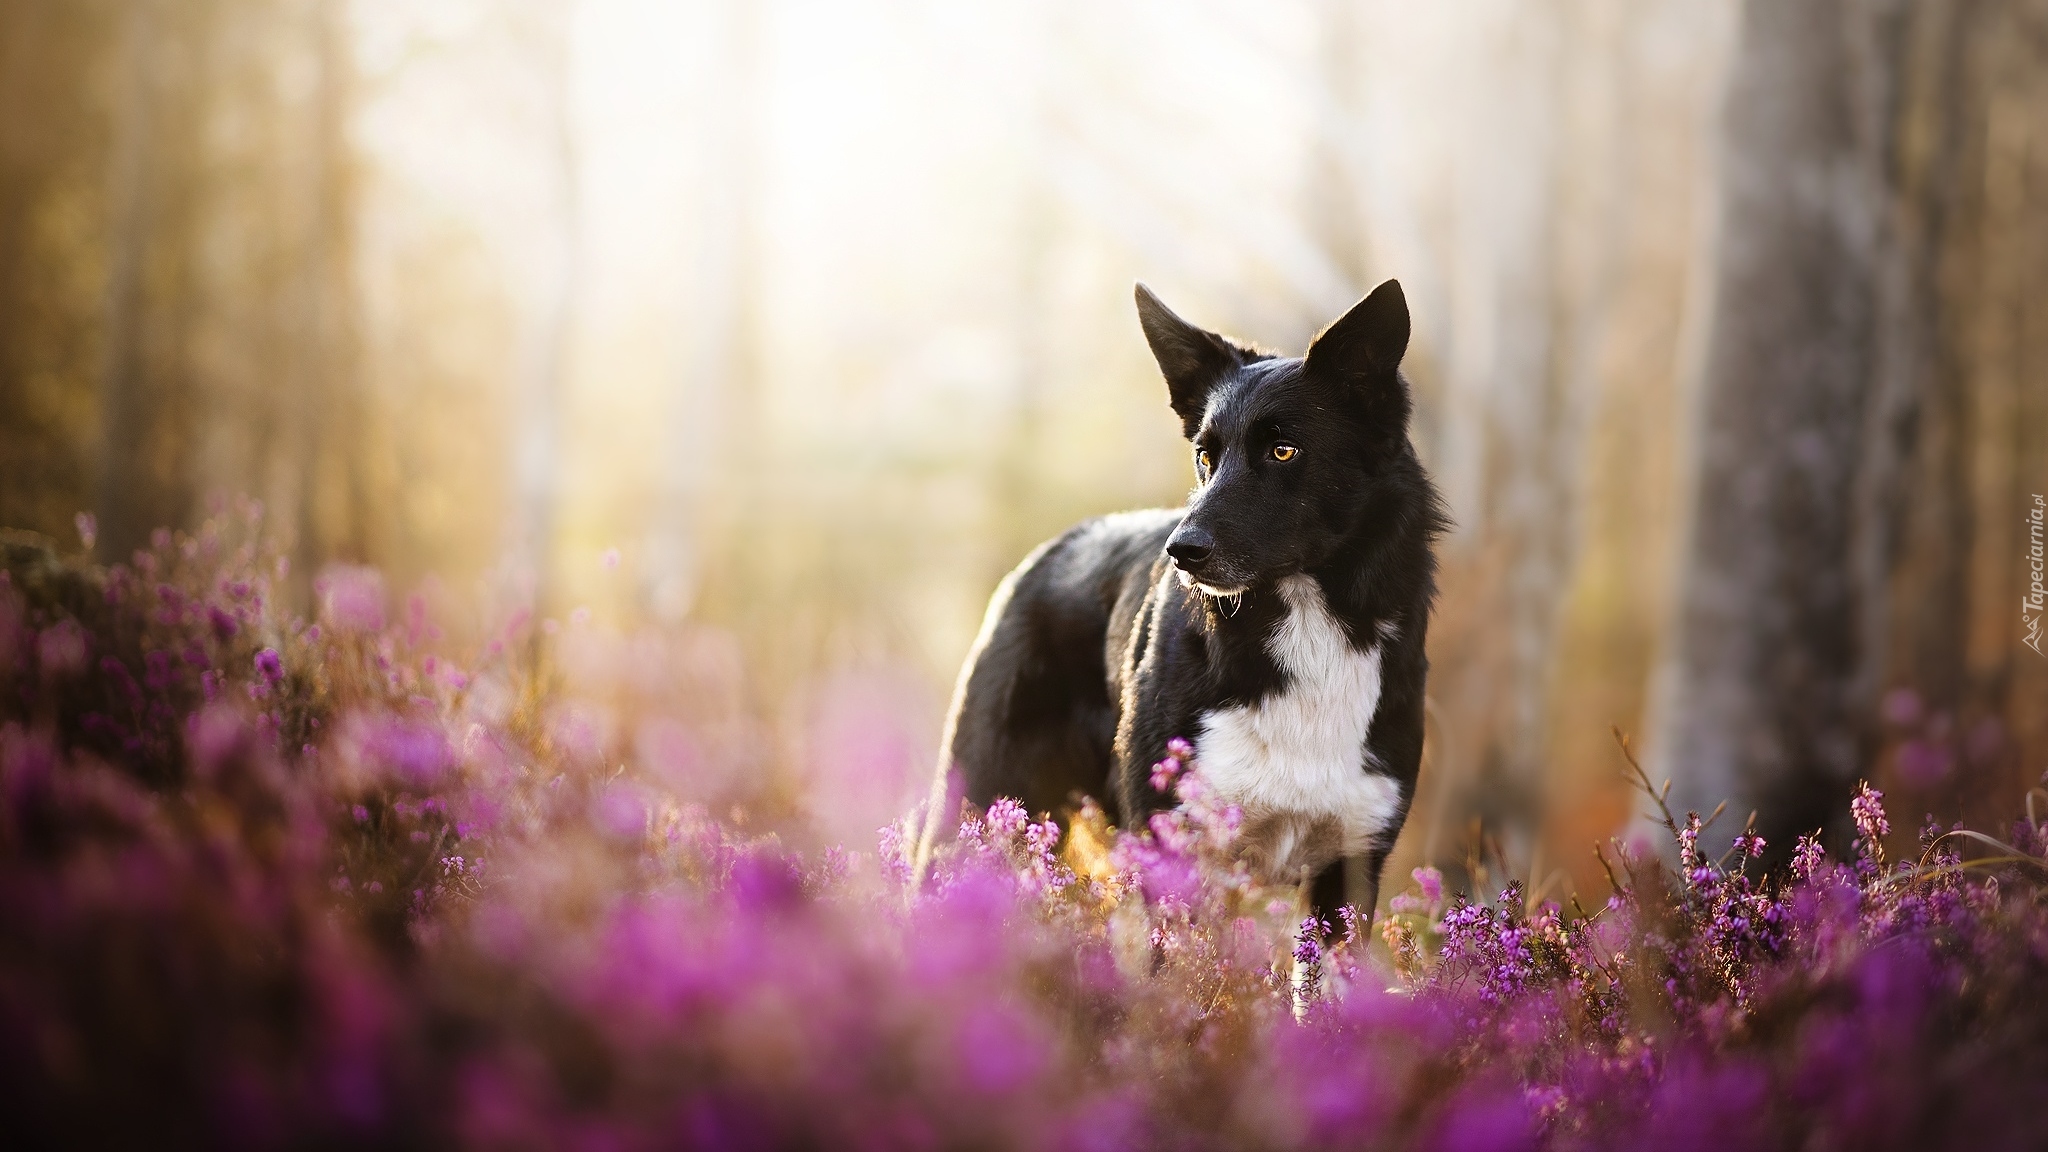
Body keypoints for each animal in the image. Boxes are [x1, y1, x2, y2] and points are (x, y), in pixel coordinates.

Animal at [937, 280, 1449, 922]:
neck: (1308, 620)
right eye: (1206, 457)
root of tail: (1052, 548)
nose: (1180, 551)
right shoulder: (1169, 843)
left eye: (1284, 451)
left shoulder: (1351, 865)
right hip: (978, 805)